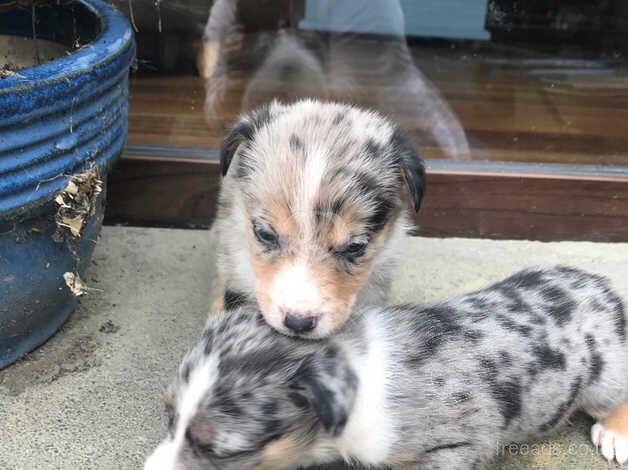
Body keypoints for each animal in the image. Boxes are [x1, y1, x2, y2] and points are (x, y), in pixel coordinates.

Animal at [145, 268, 624, 470]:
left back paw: (614, 435)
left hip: (604, 374)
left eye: (220, 451)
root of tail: (600, 285)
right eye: (169, 418)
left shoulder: (459, 444)